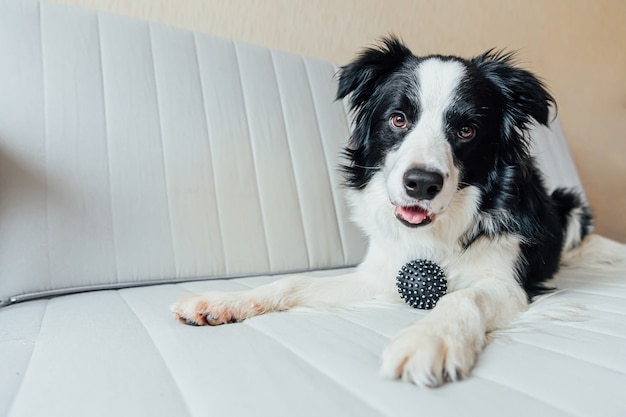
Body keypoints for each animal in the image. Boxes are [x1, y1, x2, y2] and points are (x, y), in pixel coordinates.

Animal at [173, 38, 592, 386]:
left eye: (467, 130)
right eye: (398, 119)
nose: (421, 184)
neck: (435, 234)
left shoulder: (508, 283)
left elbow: (463, 297)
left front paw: (429, 339)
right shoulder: (379, 273)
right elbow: (293, 283)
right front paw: (221, 302)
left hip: (571, 205)